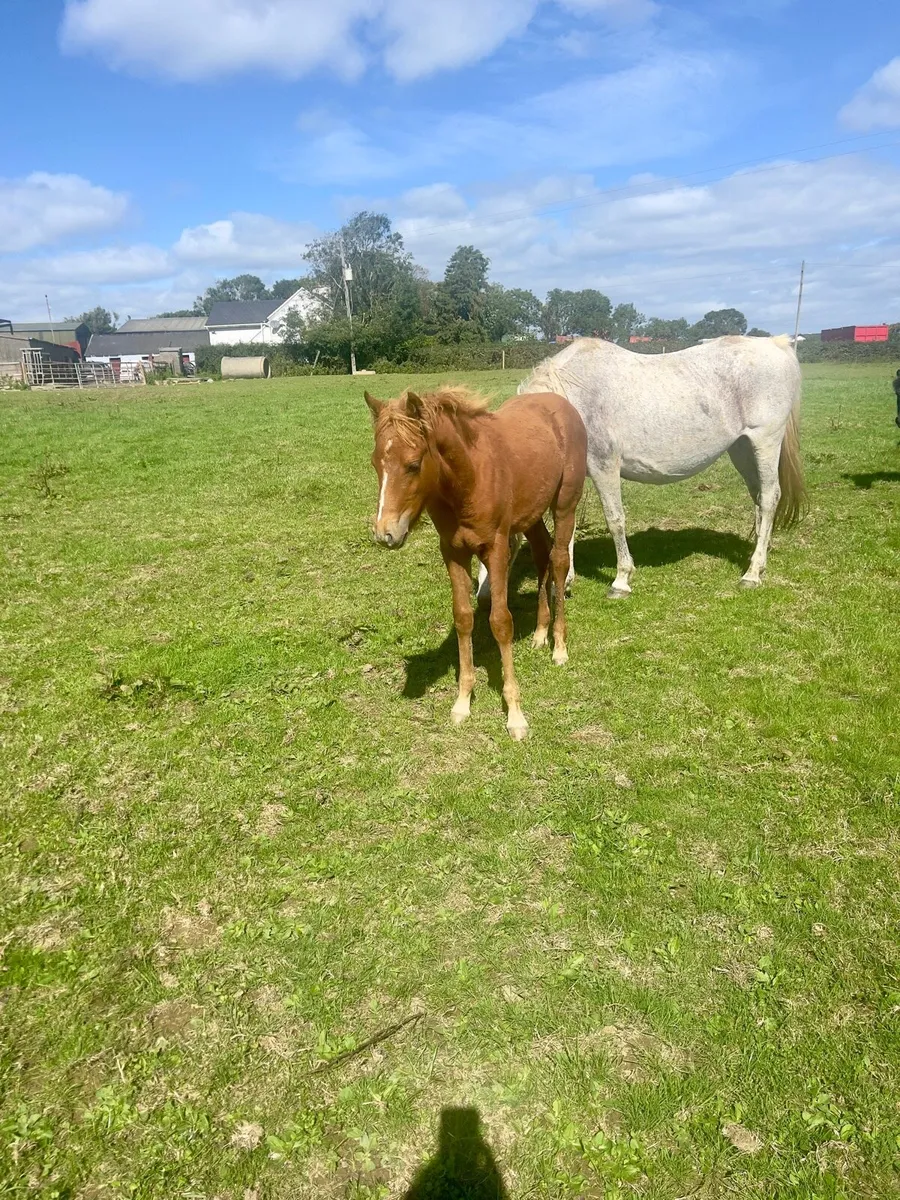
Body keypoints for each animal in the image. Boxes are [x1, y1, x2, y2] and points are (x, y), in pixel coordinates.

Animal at [364, 386, 587, 740]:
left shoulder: (496, 548)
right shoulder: (453, 551)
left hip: (565, 504)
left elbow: (501, 621)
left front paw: (515, 715)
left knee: (559, 560)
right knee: (542, 553)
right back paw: (540, 633)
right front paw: (462, 702)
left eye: (413, 464)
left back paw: (558, 647)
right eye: (375, 463)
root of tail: (560, 404)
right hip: (530, 513)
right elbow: (463, 618)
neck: (468, 476)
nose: (385, 534)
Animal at [475, 334, 805, 604]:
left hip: (765, 441)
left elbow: (615, 520)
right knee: (759, 498)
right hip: (742, 449)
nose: (483, 596)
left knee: (770, 497)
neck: (572, 400)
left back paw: (752, 573)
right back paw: (759, 557)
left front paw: (621, 581)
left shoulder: (605, 466)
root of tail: (778, 344)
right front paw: (564, 582)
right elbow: (565, 526)